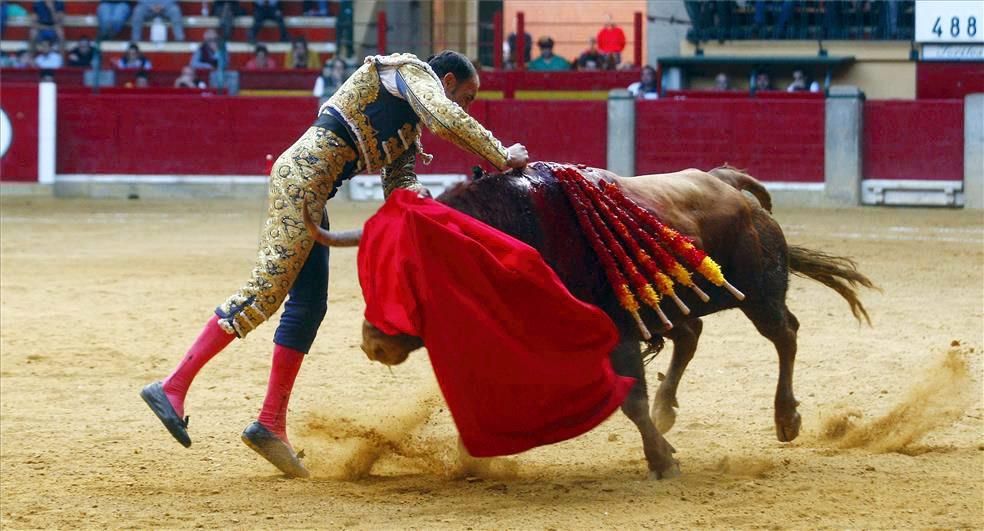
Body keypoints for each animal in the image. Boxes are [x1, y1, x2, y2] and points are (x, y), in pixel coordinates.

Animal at [304, 162, 872, 478]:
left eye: (408, 275)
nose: (374, 344)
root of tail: (726, 182)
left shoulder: (617, 332)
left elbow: (631, 400)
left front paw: (663, 462)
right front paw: (475, 456)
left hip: (758, 291)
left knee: (784, 335)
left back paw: (786, 419)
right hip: (675, 301)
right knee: (692, 336)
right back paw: (671, 407)